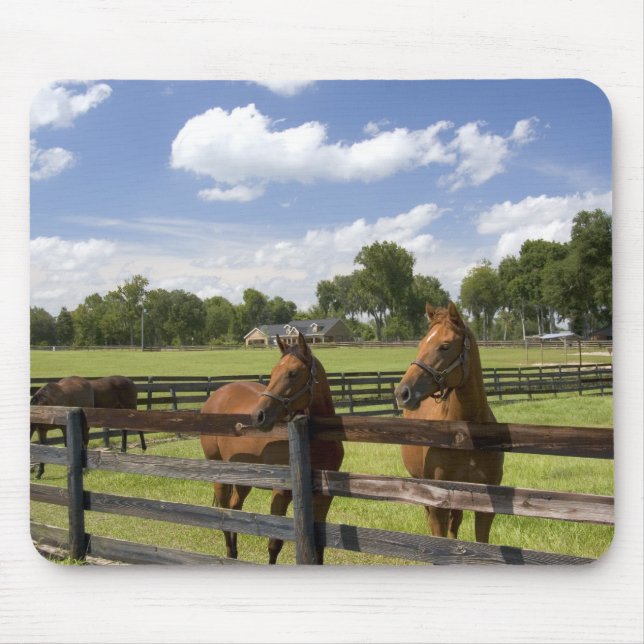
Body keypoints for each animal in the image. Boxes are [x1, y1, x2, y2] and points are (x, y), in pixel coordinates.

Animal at [200, 331, 344, 564]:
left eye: (293, 373)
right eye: (273, 372)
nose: (258, 415)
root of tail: (216, 396)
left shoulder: (324, 496)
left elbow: (321, 544)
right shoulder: (281, 493)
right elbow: (274, 543)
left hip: (244, 478)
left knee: (235, 508)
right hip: (219, 474)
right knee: (224, 513)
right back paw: (230, 553)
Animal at [394, 302, 504, 543]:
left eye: (445, 346)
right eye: (421, 343)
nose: (402, 392)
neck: (465, 435)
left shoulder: (486, 504)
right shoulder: (438, 503)